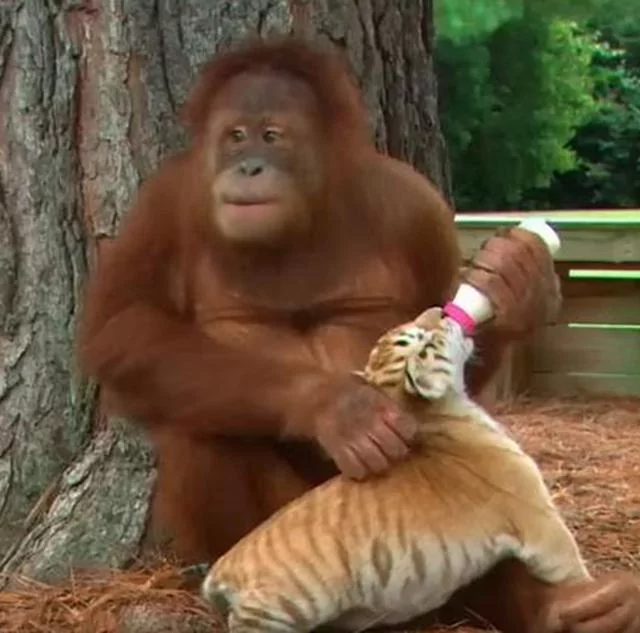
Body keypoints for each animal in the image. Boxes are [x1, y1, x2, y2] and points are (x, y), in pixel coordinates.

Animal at [201, 306, 591, 633]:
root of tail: (222, 568)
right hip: (280, 607)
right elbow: (575, 570)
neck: (434, 413)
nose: (442, 310)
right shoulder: (540, 524)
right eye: (420, 338)